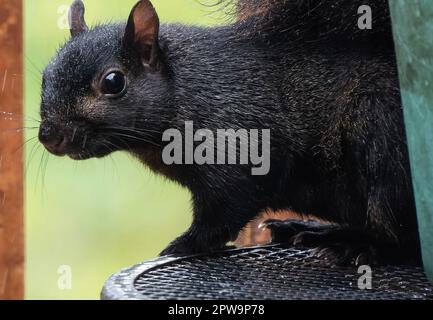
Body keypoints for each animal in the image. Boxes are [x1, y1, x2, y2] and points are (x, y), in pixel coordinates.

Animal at [38, 0, 420, 264]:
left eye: (113, 82)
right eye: (44, 76)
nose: (49, 136)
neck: (187, 89)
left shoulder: (242, 150)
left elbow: (225, 213)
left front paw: (183, 244)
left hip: (383, 142)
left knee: (400, 238)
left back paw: (352, 244)